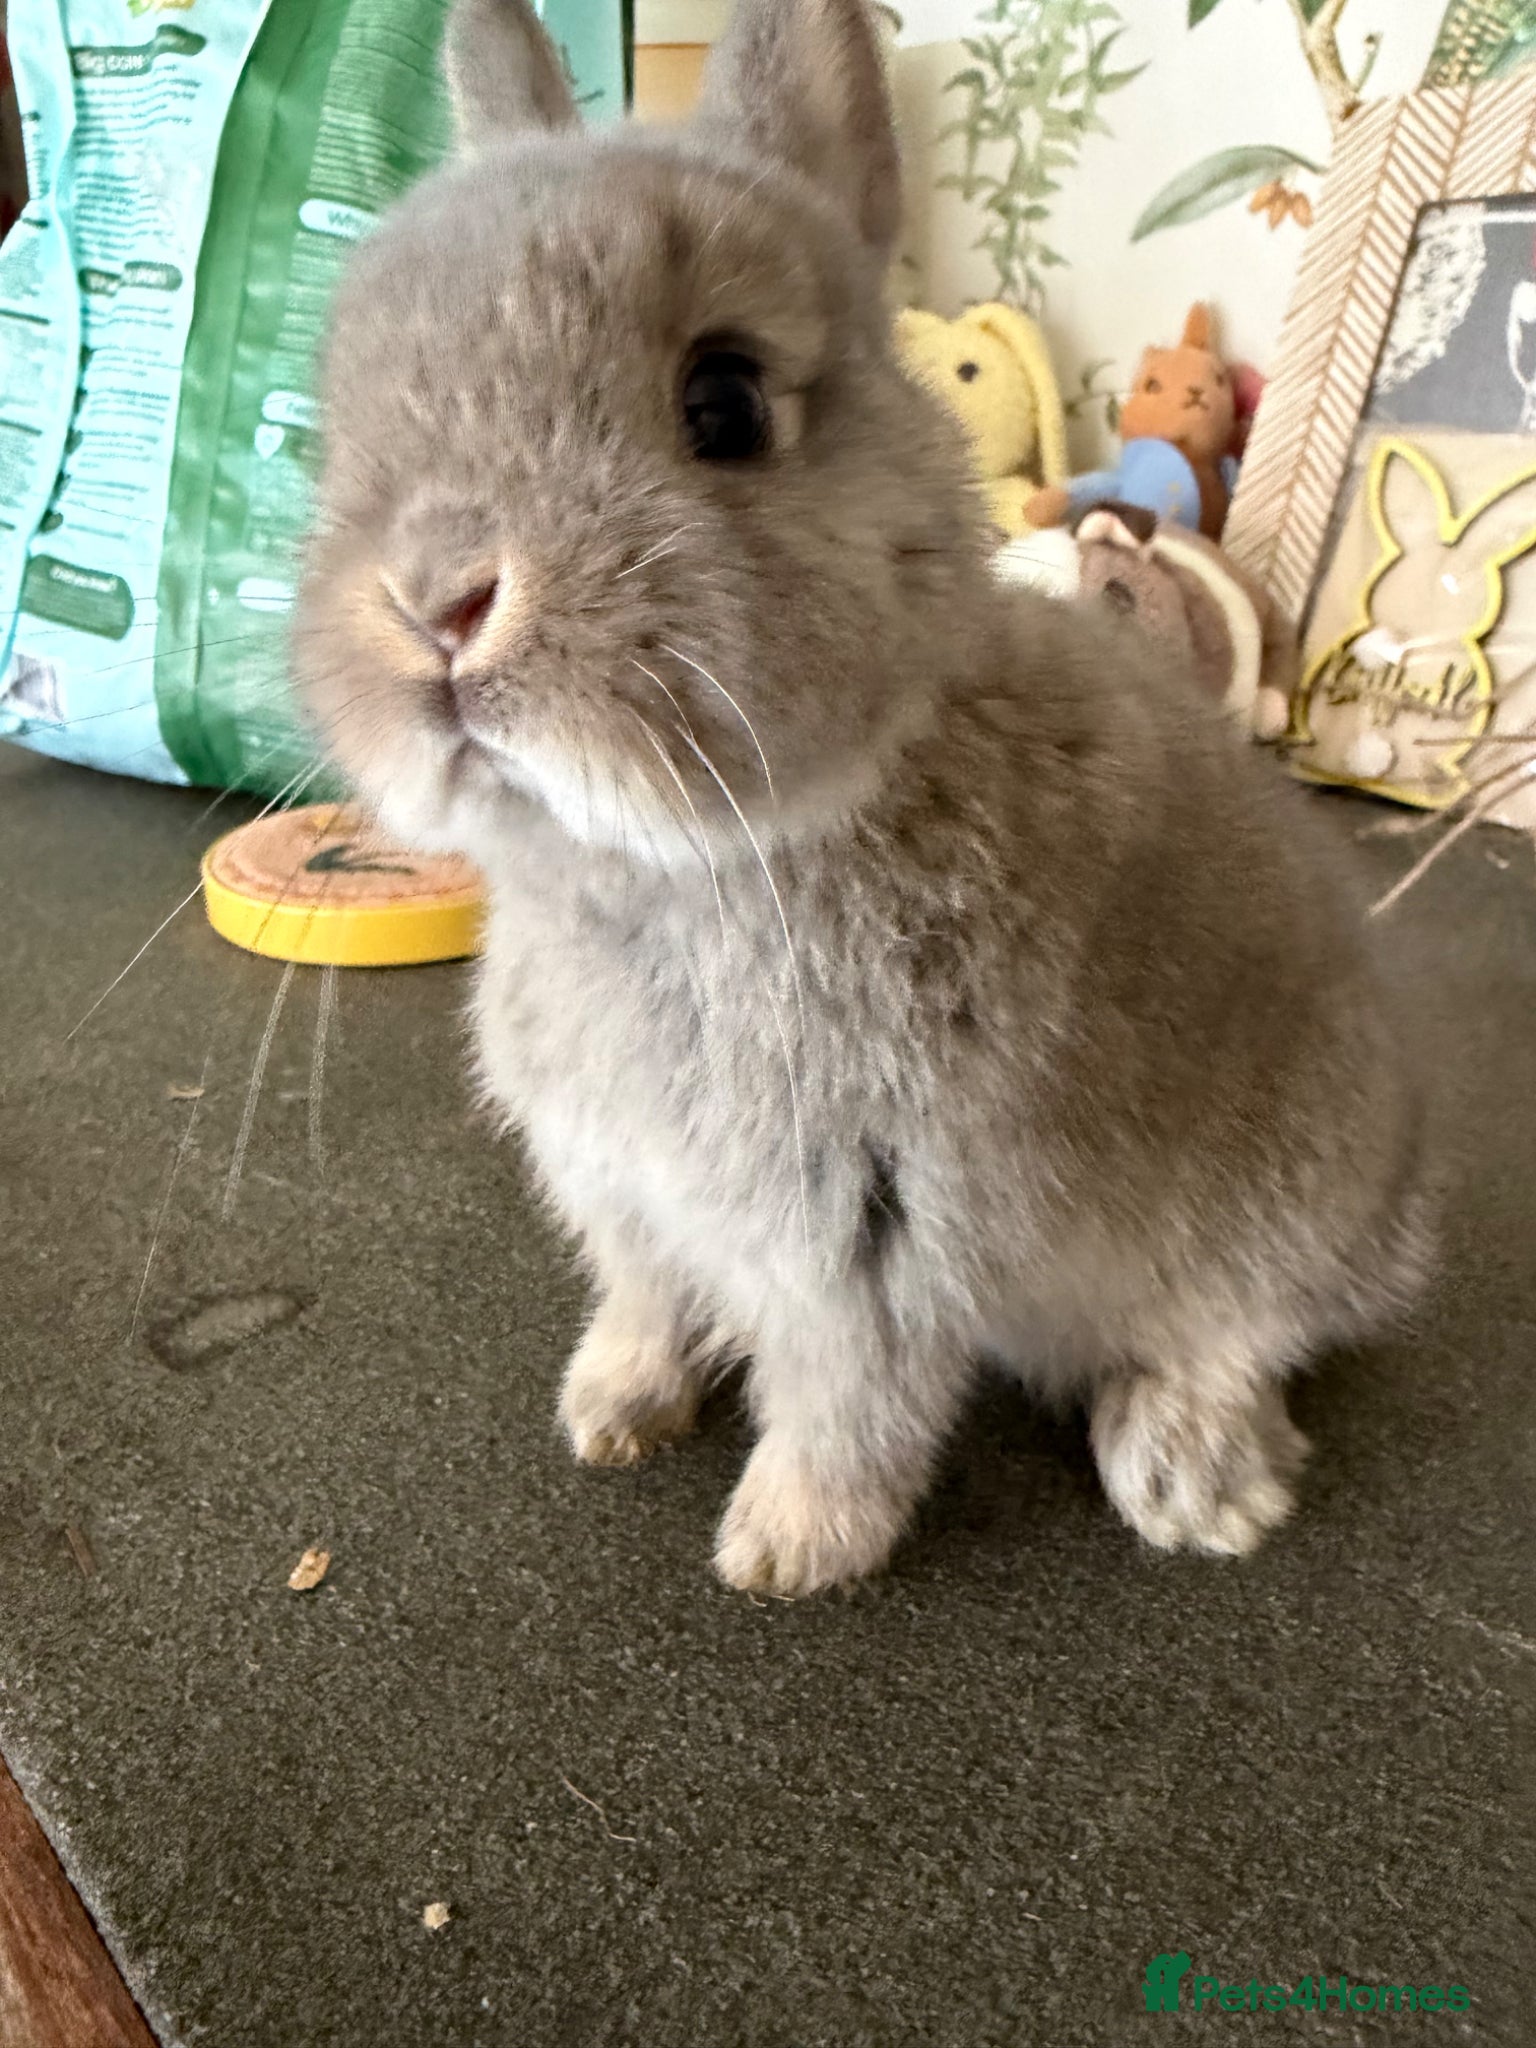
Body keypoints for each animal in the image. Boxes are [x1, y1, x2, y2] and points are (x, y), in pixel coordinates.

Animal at [294, 0, 1430, 1596]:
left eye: (723, 400)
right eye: (338, 428)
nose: (435, 600)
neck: (664, 869)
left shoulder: (872, 1237)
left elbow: (852, 1404)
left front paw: (785, 1551)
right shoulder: (626, 1201)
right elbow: (645, 1304)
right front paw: (608, 1414)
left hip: (1287, 1196)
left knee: (1247, 1336)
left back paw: (1193, 1485)